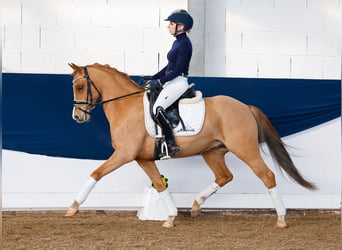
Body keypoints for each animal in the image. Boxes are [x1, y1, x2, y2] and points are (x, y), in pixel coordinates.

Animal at [64, 63, 316, 229]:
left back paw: (281, 219)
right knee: (224, 176)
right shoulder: (142, 158)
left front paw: (73, 207)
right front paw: (171, 217)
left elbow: (96, 173)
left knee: (267, 176)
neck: (126, 106)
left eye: (79, 87)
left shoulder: (124, 154)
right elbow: (159, 184)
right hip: (212, 152)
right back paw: (195, 206)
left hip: (245, 150)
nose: (77, 117)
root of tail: (245, 107)